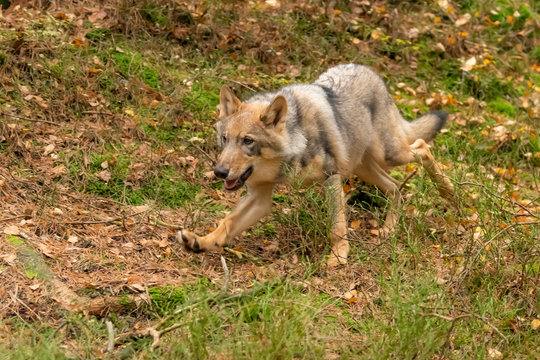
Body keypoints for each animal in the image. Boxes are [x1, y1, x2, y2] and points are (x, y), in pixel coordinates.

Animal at [179, 64, 454, 268]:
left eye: (248, 141)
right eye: (225, 139)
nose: (220, 172)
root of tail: (369, 70)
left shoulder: (331, 177)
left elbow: (337, 225)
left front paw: (339, 256)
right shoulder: (260, 197)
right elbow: (226, 223)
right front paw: (200, 242)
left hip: (389, 154)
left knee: (423, 148)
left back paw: (449, 192)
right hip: (363, 167)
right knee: (396, 185)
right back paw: (388, 229)